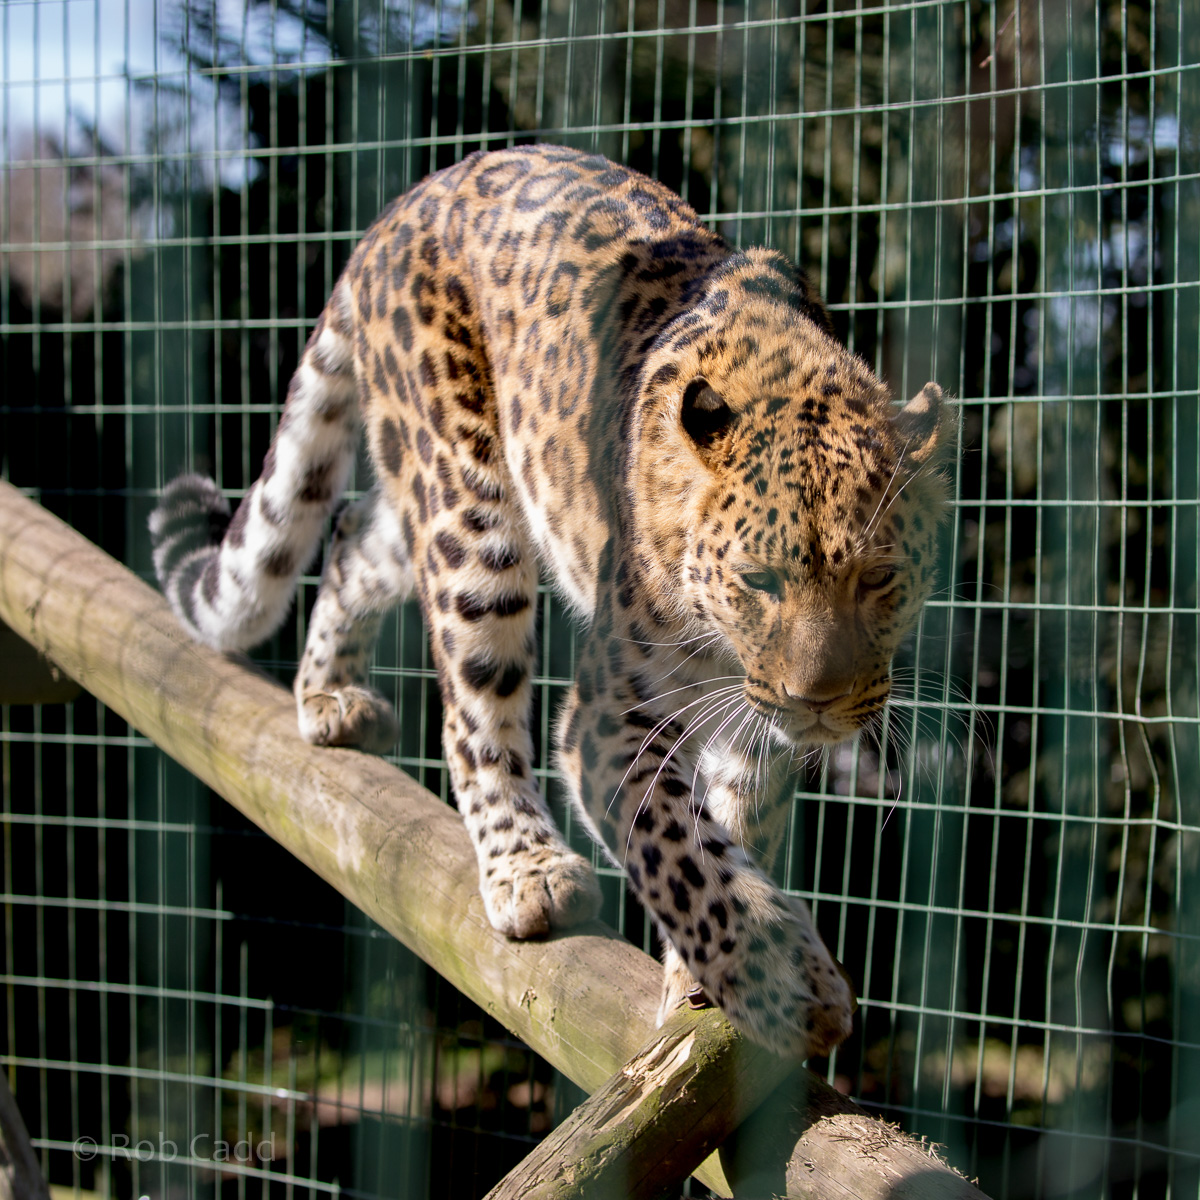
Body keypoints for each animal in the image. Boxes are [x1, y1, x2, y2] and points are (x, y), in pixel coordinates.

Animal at [150, 143, 953, 1059]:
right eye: (759, 581)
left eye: (879, 579)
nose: (818, 701)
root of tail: (407, 202)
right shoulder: (607, 721)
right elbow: (682, 851)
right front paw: (783, 980)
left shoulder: (757, 731)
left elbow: (737, 827)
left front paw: (702, 981)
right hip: (469, 512)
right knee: (471, 711)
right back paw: (525, 867)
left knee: (355, 532)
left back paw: (330, 693)